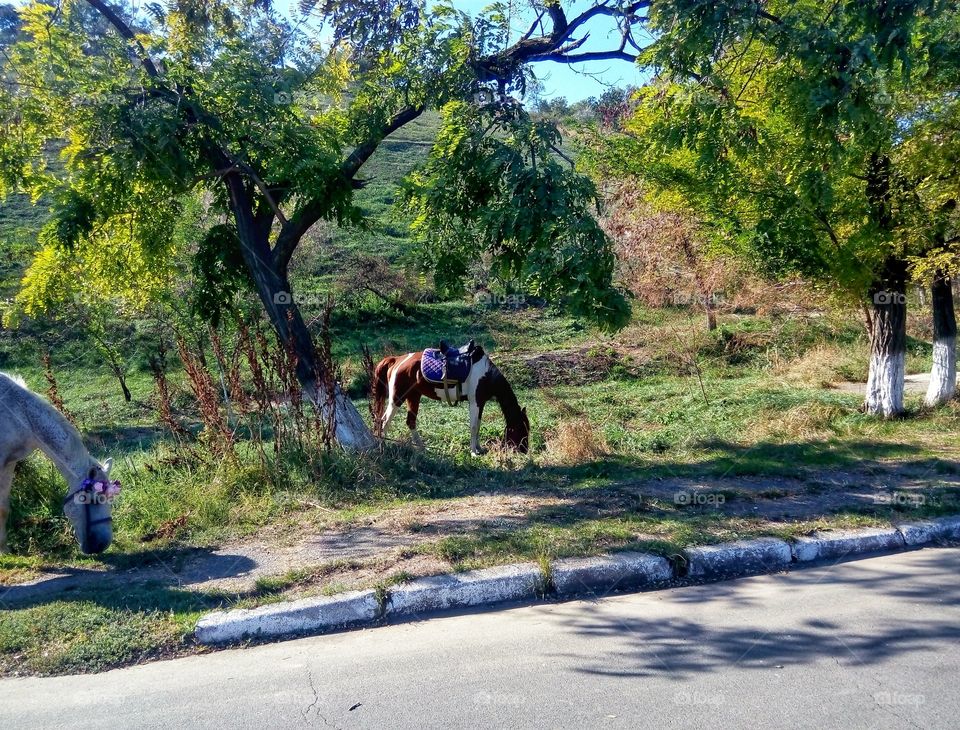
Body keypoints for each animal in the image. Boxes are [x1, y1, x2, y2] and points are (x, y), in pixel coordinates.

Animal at [0, 372, 119, 555]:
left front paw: (4, 549)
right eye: (94, 500)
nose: (102, 545)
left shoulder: (8, 464)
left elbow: (3, 509)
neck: (17, 414)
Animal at [373, 341, 530, 456]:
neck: (487, 375)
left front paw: (479, 448)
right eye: (522, 429)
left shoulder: (480, 403)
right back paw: (383, 447)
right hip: (397, 398)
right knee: (384, 421)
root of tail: (397, 360)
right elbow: (473, 426)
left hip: (413, 396)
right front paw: (473, 452)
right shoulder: (474, 402)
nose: (524, 450)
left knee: (410, 422)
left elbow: (478, 425)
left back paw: (423, 449)